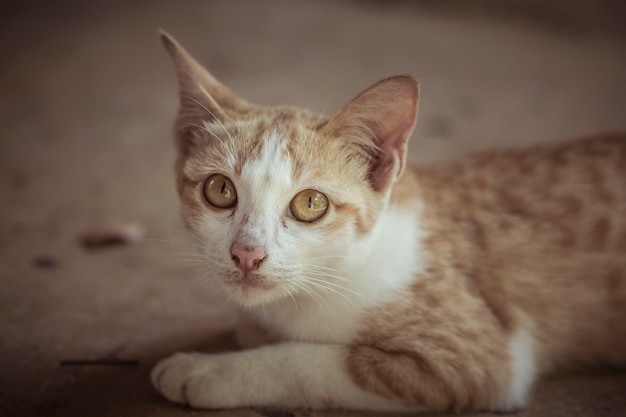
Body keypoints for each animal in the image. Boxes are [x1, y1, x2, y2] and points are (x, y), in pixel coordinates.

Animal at [152, 30, 624, 412]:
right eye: (220, 190)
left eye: (310, 204)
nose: (247, 254)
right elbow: (253, 328)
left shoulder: (476, 357)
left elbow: (312, 360)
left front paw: (209, 372)